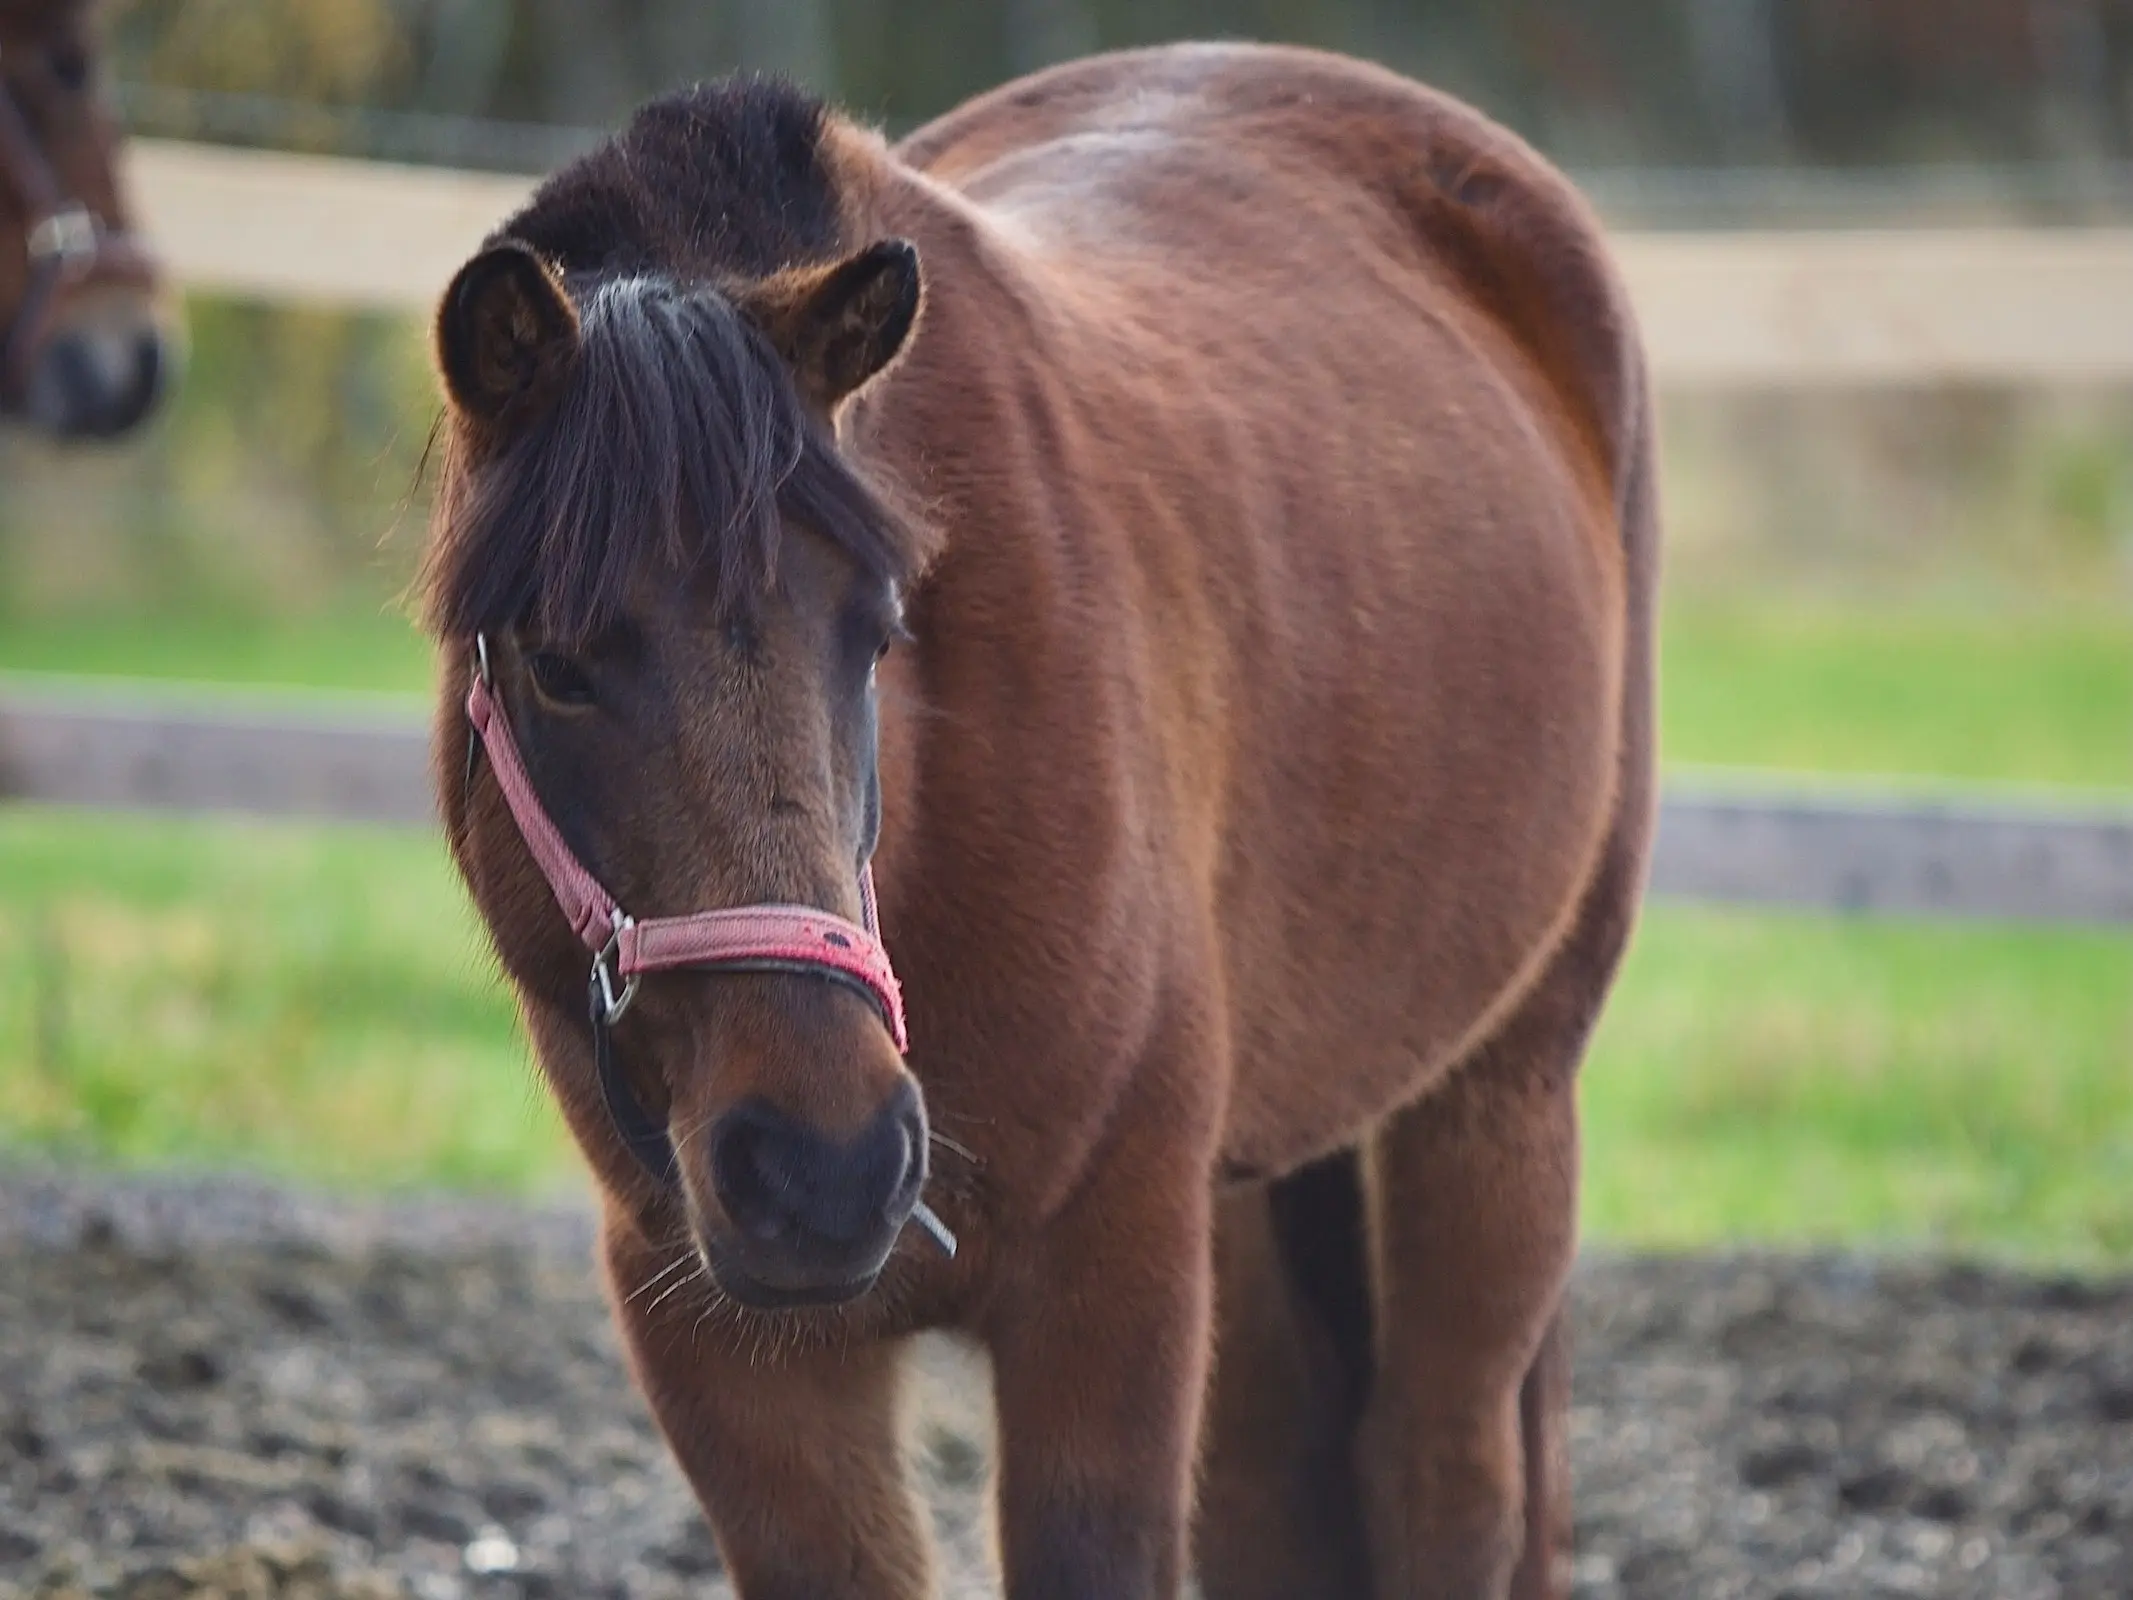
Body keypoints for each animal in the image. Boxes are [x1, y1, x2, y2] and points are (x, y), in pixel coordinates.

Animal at [432, 40, 1655, 1600]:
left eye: (878, 626)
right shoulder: (726, 1345)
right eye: (553, 663)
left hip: (1496, 1101)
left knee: (1443, 1476)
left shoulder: (1107, 1289)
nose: (824, 1165)